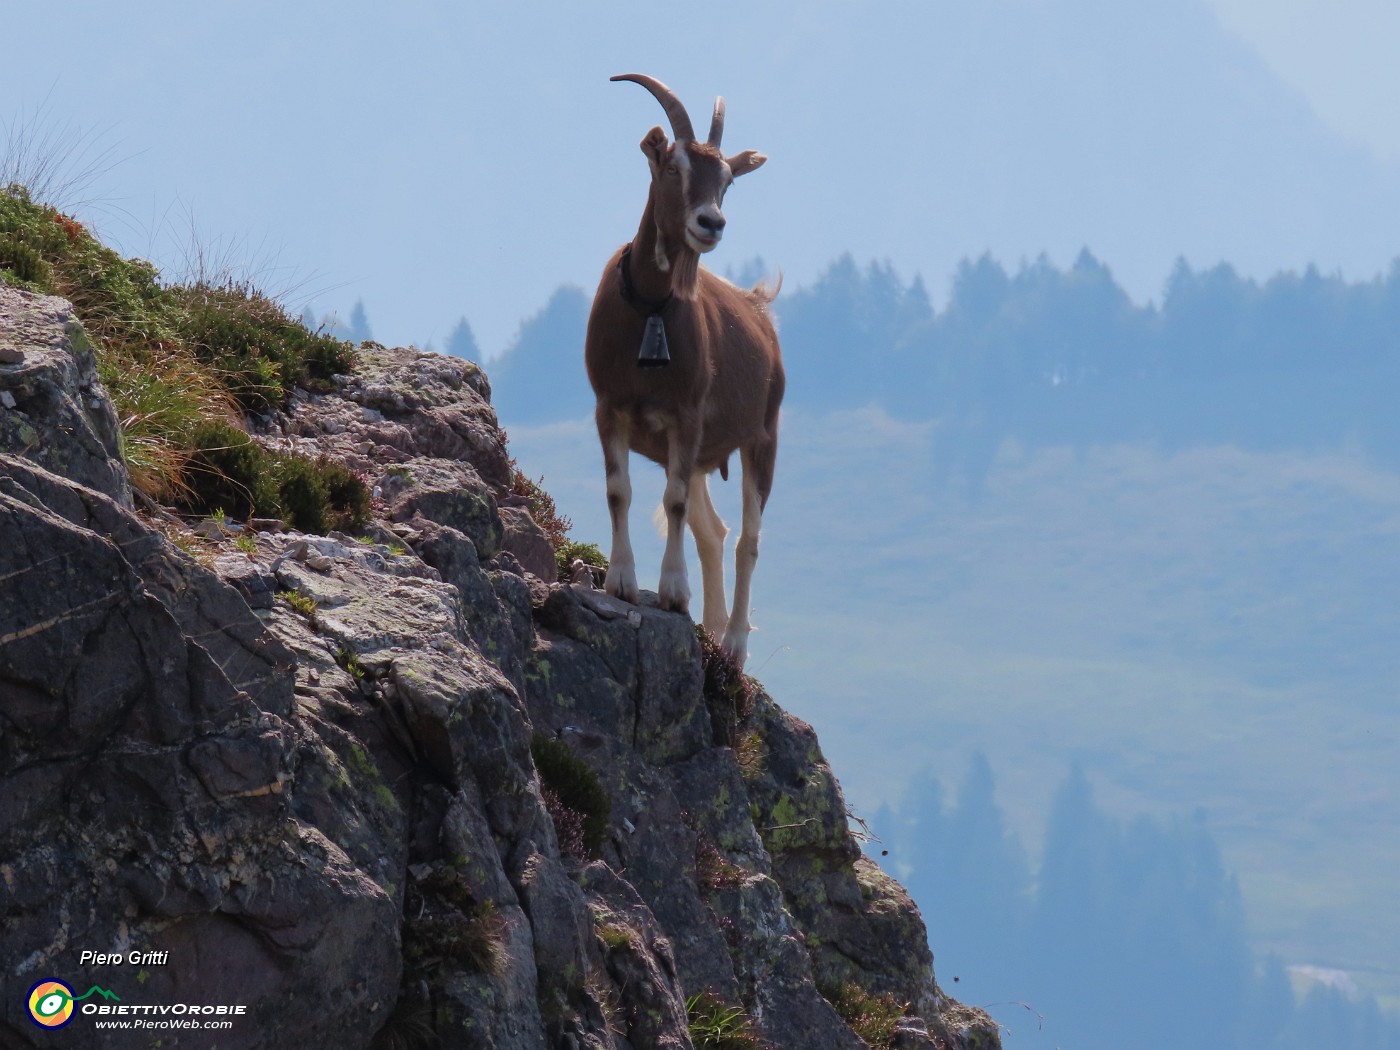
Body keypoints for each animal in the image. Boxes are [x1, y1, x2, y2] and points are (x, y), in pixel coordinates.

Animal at [582, 72, 789, 666]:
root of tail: (760, 307)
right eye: (673, 166)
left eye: (727, 180)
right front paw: (622, 582)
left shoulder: (687, 414)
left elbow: (671, 502)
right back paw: (715, 631)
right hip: (702, 454)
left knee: (746, 539)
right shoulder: (609, 407)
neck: (651, 308)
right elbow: (619, 490)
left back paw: (736, 642)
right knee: (711, 530)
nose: (710, 223)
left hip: (761, 438)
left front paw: (673, 592)